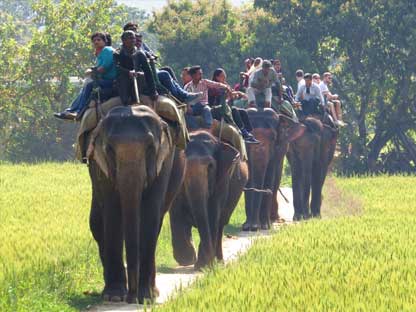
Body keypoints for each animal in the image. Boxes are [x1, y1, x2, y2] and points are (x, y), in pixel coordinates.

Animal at [88, 104, 185, 302]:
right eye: (109, 148)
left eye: (150, 147)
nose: (131, 297)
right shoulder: (99, 163)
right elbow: (112, 211)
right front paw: (114, 296)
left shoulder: (164, 160)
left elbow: (150, 212)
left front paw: (146, 297)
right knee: (96, 223)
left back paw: (152, 291)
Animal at [168, 130, 247, 270]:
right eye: (183, 165)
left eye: (210, 166)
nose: (210, 264)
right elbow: (176, 210)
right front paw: (187, 259)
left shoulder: (223, 179)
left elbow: (213, 213)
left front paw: (203, 266)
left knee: (220, 224)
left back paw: (219, 262)